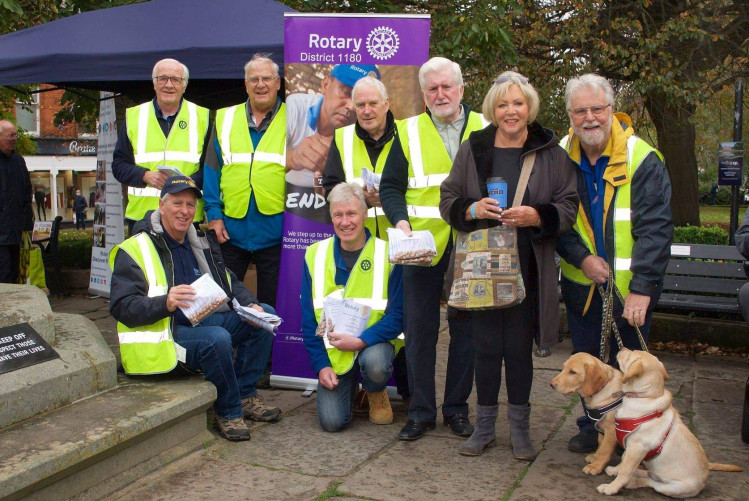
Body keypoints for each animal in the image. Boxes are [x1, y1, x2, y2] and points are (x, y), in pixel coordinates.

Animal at [596, 348, 744, 496]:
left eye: (630, 354)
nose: (622, 348)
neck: (645, 397)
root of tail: (703, 483)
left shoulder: (638, 447)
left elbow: (625, 469)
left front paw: (611, 487)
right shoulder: (630, 446)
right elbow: (623, 460)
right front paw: (614, 470)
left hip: (673, 488)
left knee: (653, 483)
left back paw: (633, 482)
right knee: (650, 475)